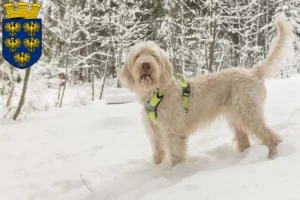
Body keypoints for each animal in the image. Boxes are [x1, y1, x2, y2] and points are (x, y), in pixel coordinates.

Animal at [118, 14, 294, 166]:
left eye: (154, 55)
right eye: (137, 56)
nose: (145, 65)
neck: (155, 93)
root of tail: (253, 72)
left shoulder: (172, 132)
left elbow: (175, 155)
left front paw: (175, 173)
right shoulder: (155, 133)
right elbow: (158, 153)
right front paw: (157, 169)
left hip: (248, 113)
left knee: (270, 135)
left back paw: (272, 155)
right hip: (236, 115)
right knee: (244, 139)